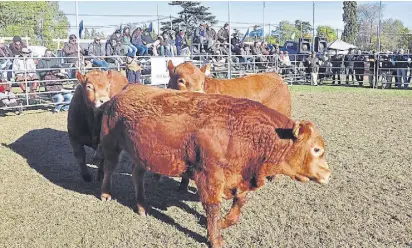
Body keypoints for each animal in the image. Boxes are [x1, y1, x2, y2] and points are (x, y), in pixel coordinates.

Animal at [98, 85, 330, 248]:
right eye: (316, 149)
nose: (328, 174)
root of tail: (126, 90)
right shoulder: (209, 177)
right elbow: (213, 208)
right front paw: (215, 239)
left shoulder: (238, 176)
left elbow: (240, 202)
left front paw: (226, 222)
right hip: (111, 145)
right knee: (109, 168)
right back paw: (106, 194)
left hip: (142, 155)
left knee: (137, 175)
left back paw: (142, 206)